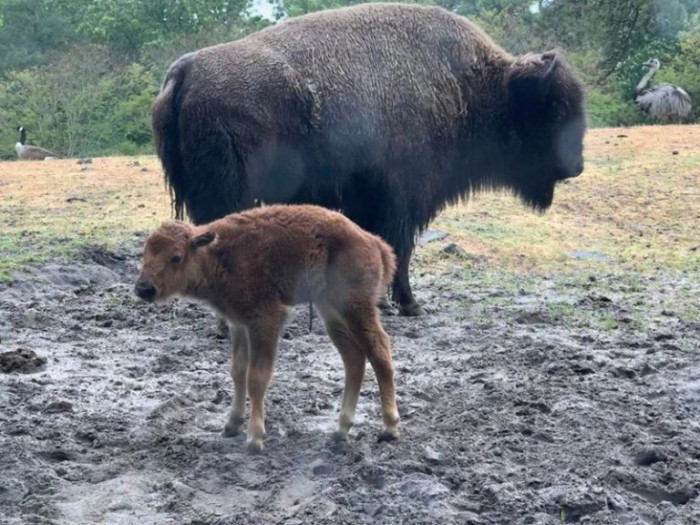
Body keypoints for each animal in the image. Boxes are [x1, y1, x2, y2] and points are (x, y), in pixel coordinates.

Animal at [152, 2, 586, 316]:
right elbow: (398, 248)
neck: (477, 87)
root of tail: (186, 69)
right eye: (554, 109)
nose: (577, 164)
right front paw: (409, 305)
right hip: (229, 192)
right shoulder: (403, 200)